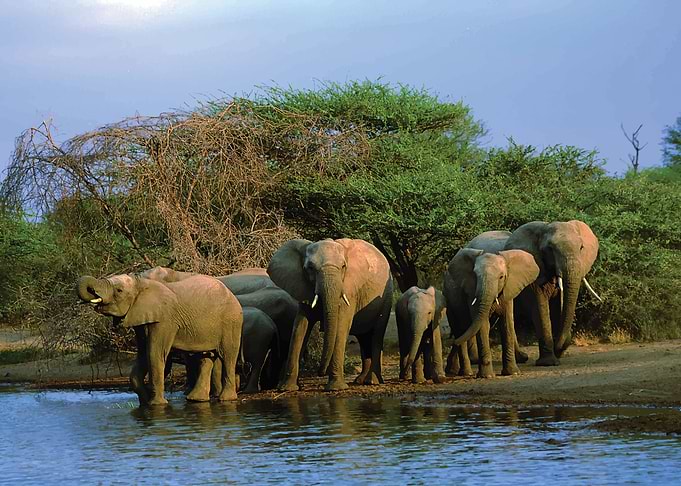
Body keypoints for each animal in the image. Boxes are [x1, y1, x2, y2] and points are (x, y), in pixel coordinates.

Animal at [76, 273, 243, 405]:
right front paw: (145, 402)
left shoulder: (164, 320)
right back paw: (196, 399)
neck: (141, 283)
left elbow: (154, 354)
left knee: (228, 356)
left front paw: (156, 404)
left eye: (119, 291)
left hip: (231, 322)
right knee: (205, 357)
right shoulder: (141, 319)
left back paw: (226, 399)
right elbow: (143, 355)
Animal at [267, 238, 393, 391]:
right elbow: (300, 328)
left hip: (387, 296)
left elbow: (341, 326)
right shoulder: (304, 287)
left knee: (377, 334)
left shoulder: (349, 289)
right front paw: (287, 388)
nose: (320, 372)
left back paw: (372, 381)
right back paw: (360, 380)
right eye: (310, 268)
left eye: (343, 267)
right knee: (364, 337)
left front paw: (336, 388)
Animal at [443, 236, 539, 378]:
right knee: (460, 328)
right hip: (449, 300)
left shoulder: (507, 289)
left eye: (501, 277)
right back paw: (465, 372)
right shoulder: (472, 292)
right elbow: (482, 325)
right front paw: (486, 376)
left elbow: (506, 323)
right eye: (476, 276)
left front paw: (512, 373)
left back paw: (454, 370)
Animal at [503, 220, 600, 365]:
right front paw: (549, 362)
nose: (557, 347)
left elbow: (557, 307)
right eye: (550, 249)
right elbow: (540, 308)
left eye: (581, 247)